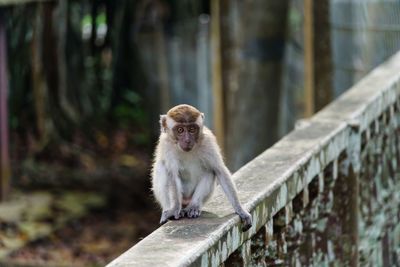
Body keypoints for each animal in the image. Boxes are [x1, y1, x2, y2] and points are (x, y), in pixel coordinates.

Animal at [152, 104, 252, 232]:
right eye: (180, 130)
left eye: (192, 129)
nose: (187, 140)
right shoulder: (166, 145)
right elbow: (172, 175)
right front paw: (174, 209)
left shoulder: (208, 141)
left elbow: (220, 170)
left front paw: (241, 210)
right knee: (162, 167)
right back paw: (171, 210)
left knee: (210, 171)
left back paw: (193, 207)